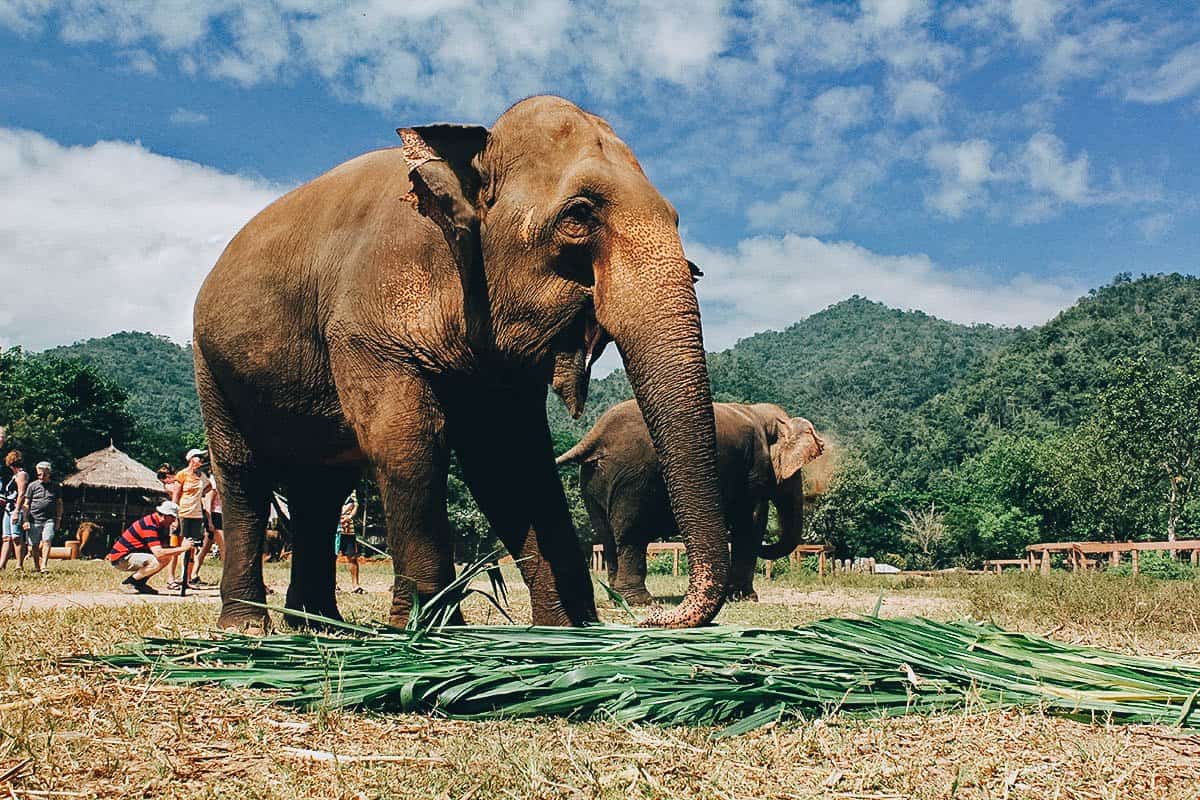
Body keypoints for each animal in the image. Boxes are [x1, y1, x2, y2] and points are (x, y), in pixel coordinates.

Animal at [194, 94, 729, 633]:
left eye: (675, 217)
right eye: (579, 214)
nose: (650, 617)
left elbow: (508, 456)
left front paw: (566, 631)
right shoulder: (363, 322)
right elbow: (408, 436)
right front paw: (426, 633)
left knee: (321, 488)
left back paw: (319, 624)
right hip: (210, 365)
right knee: (243, 473)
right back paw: (246, 626)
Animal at [559, 402, 825, 604]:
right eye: (795, 473)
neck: (760, 413)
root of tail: (596, 434)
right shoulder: (754, 469)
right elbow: (750, 523)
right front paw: (747, 598)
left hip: (594, 479)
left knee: (606, 535)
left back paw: (618, 599)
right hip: (633, 479)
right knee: (630, 535)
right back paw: (640, 601)